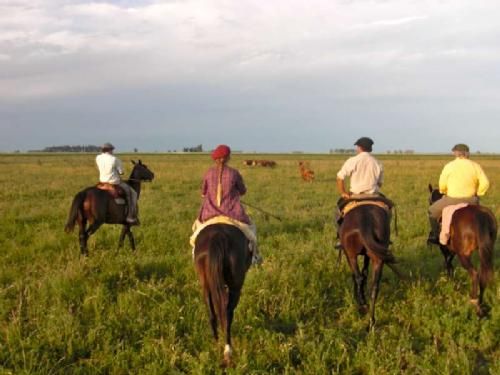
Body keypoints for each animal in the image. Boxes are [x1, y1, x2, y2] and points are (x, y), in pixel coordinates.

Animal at [193, 223, 252, 368]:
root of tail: (218, 236)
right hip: (236, 287)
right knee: (227, 314)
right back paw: (227, 350)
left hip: (206, 285)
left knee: (212, 314)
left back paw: (216, 342)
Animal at [428, 185, 494, 318]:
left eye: (429, 199)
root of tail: (480, 216)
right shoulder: (453, 251)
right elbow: (450, 264)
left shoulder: (445, 249)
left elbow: (448, 265)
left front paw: (451, 283)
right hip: (485, 253)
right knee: (483, 276)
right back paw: (481, 304)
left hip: (464, 255)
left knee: (475, 274)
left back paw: (474, 303)